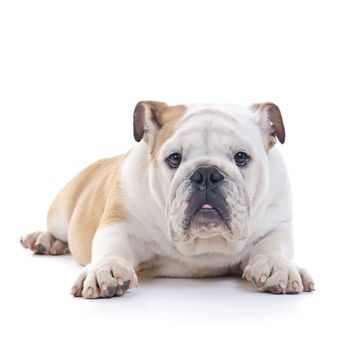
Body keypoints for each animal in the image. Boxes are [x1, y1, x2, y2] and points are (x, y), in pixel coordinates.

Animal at [19, 101, 314, 298]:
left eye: (241, 157)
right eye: (174, 159)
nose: (206, 173)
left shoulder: (277, 224)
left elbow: (274, 246)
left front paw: (278, 267)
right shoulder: (120, 221)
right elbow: (111, 245)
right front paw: (107, 270)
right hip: (61, 212)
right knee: (57, 228)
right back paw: (44, 240)